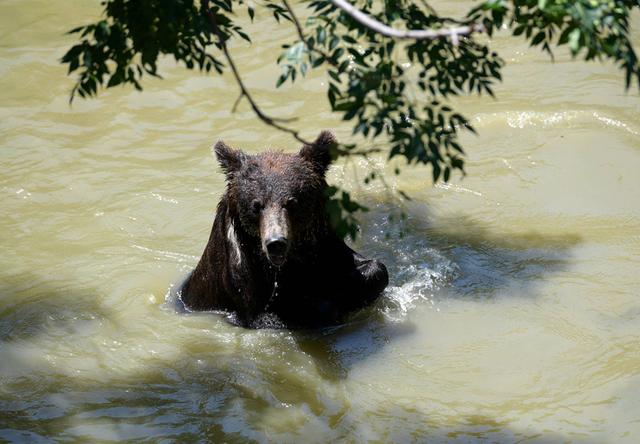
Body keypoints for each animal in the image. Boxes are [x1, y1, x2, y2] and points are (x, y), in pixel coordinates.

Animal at [181, 130, 390, 328]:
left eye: (292, 202)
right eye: (256, 205)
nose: (276, 243)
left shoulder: (325, 247)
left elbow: (374, 269)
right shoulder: (245, 289)